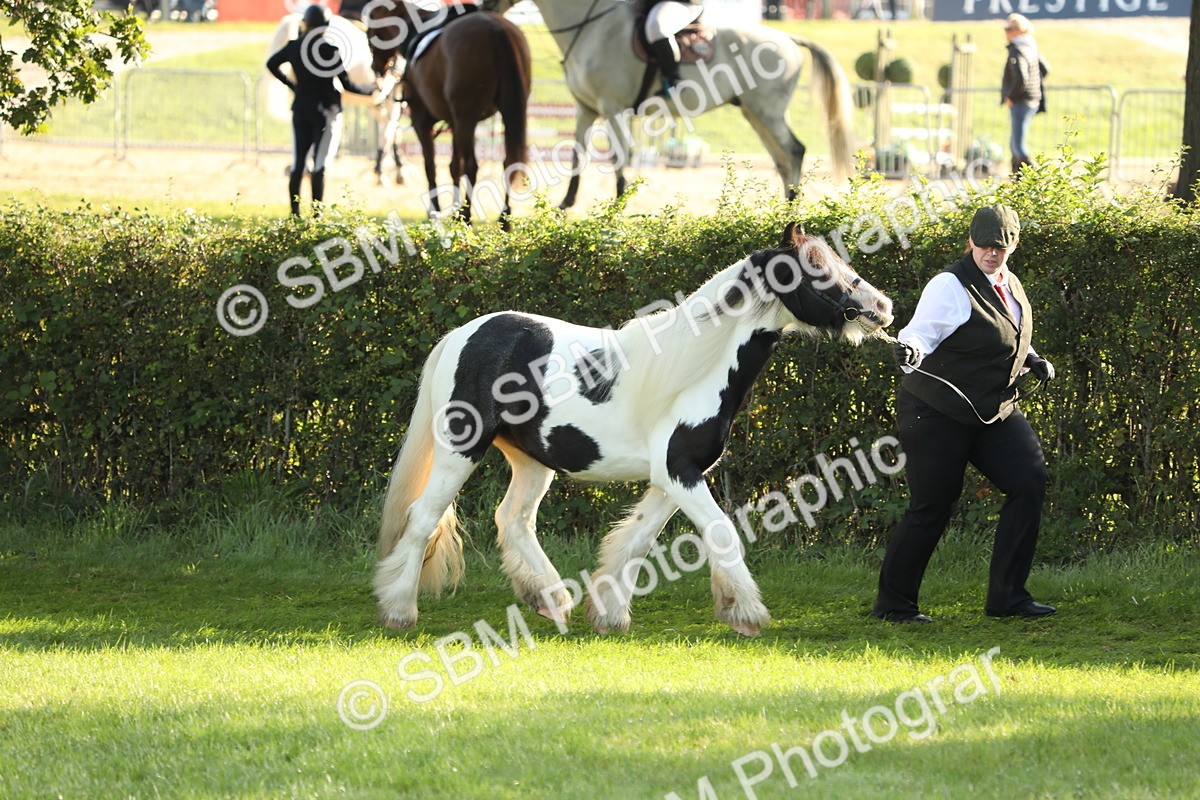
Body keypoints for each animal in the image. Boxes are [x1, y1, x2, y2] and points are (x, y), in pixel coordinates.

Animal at [365, 0, 531, 225]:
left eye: (369, 33)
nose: (376, 67)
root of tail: (496, 30)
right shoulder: (454, 121)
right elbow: (454, 167)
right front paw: (453, 209)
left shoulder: (422, 121)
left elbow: (431, 166)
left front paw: (435, 211)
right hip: (505, 112)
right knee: (508, 162)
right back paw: (504, 218)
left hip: (466, 118)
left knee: (471, 165)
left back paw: (468, 216)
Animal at [373, 222, 894, 637]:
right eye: (815, 267)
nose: (882, 307)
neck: (694, 370)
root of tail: (461, 335)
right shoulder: (679, 473)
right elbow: (721, 531)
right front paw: (746, 612)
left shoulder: (673, 478)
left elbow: (636, 541)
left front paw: (609, 615)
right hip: (460, 450)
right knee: (423, 517)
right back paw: (399, 610)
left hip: (531, 460)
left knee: (513, 519)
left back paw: (552, 600)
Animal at [482, 0, 855, 209]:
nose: (483, 7)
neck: (592, 28)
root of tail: (788, 38)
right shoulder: (586, 109)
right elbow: (577, 154)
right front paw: (566, 204)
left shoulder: (612, 106)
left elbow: (620, 157)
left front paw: (618, 207)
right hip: (755, 114)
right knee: (782, 159)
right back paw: (785, 209)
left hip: (767, 111)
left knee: (794, 151)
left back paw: (791, 213)